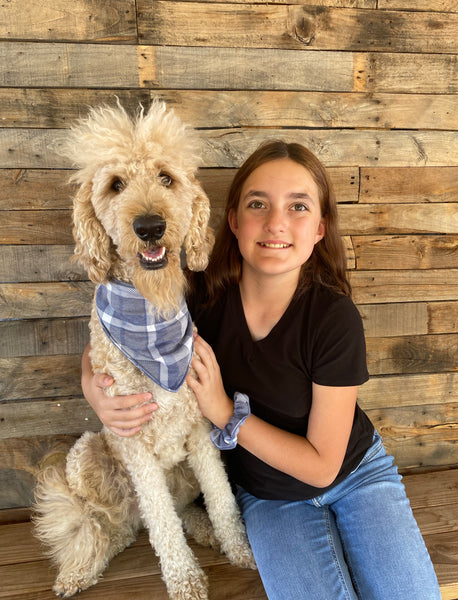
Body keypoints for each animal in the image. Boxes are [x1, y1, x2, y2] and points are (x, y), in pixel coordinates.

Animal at [33, 103, 254, 600]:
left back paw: (206, 531)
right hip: (86, 456)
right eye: (115, 185)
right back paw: (80, 568)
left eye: (167, 177)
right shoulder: (135, 446)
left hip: (180, 475)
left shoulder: (200, 431)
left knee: (171, 514)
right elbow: (163, 528)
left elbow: (222, 499)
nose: (149, 226)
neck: (151, 312)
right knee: (110, 524)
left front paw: (240, 547)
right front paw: (186, 580)